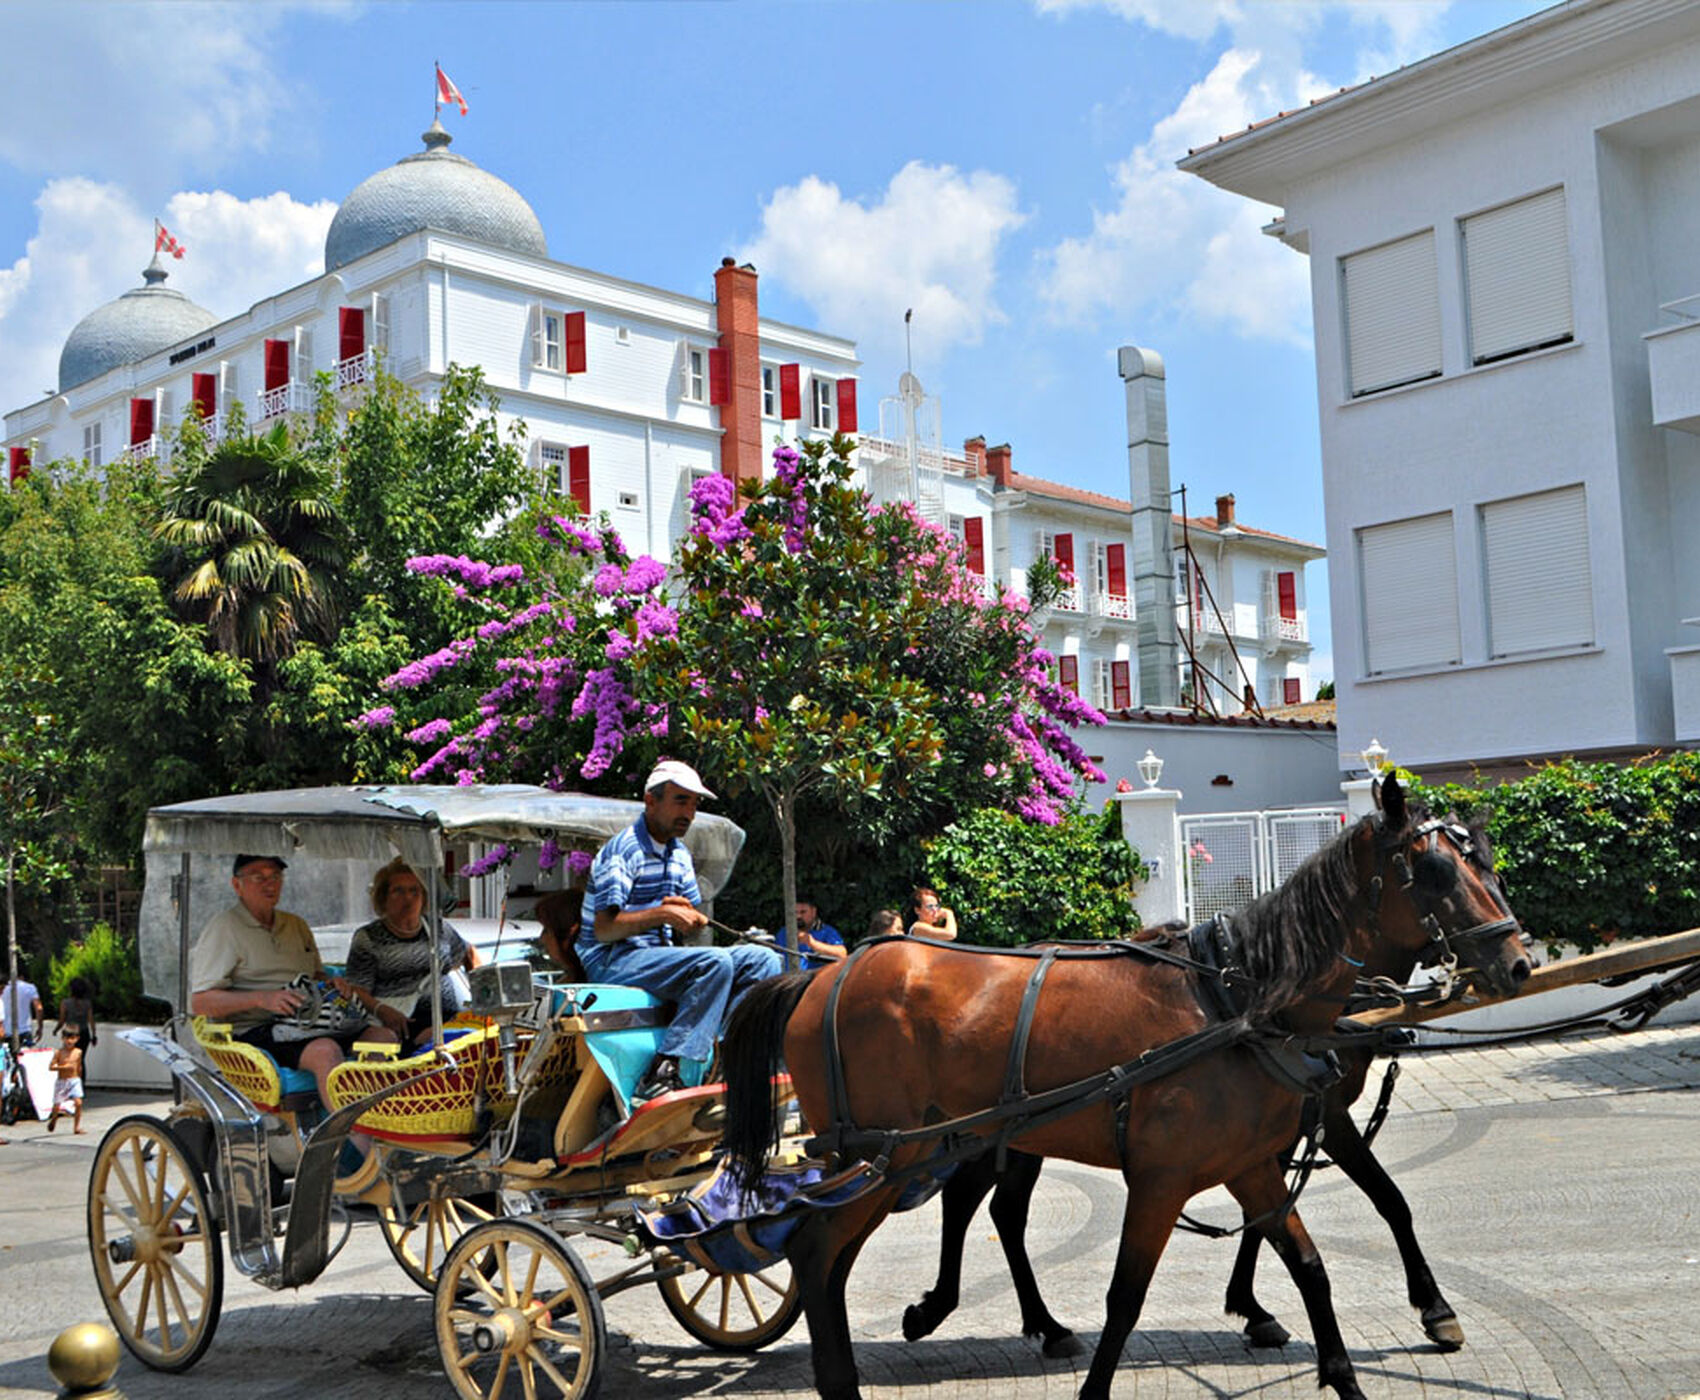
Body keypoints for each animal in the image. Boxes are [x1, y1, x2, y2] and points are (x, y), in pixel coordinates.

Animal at [724, 778, 1536, 1400]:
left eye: (1487, 865)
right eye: (1435, 873)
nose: (1519, 962)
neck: (1238, 1002)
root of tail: (821, 975)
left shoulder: (1253, 1160)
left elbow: (1308, 1266)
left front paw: (1322, 1357)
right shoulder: (1166, 1177)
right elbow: (1127, 1296)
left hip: (935, 1148)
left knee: (908, 1236)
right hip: (883, 1156)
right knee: (820, 1251)